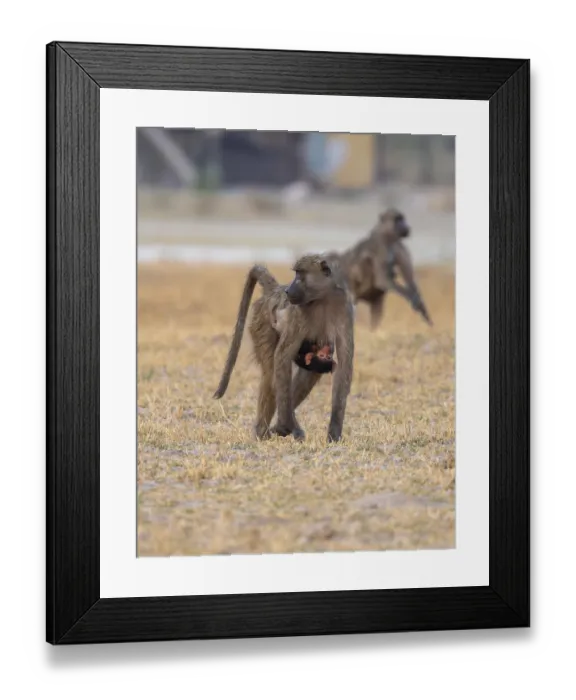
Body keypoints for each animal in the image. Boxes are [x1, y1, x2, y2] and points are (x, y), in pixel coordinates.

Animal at [213, 255, 354, 443]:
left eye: (300, 274)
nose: (288, 290)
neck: (323, 298)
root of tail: (274, 291)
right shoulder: (299, 313)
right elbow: (282, 356)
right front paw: (287, 426)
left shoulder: (345, 308)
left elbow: (344, 363)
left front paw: (334, 432)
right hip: (261, 323)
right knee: (271, 375)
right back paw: (263, 432)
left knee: (309, 373)